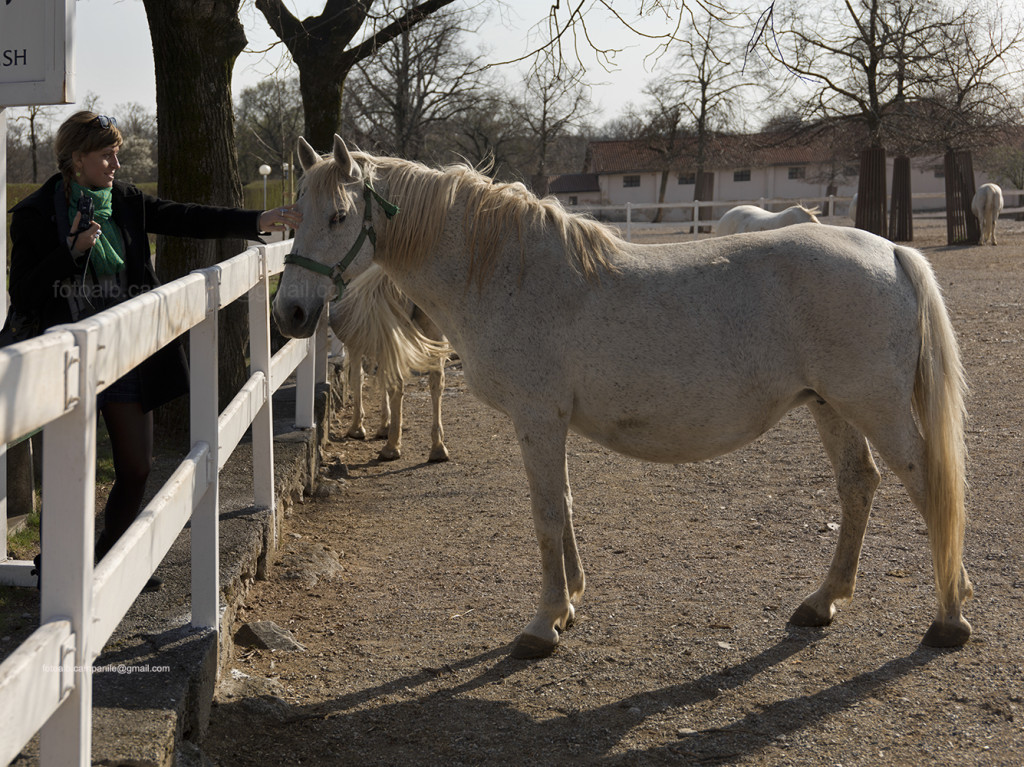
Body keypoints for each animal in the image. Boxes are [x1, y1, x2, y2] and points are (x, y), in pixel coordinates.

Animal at [331, 264, 452, 460]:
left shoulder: (355, 344)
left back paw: (391, 447)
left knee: (396, 383)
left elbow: (357, 378)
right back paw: (438, 448)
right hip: (432, 329)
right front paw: (384, 425)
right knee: (436, 381)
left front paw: (357, 428)